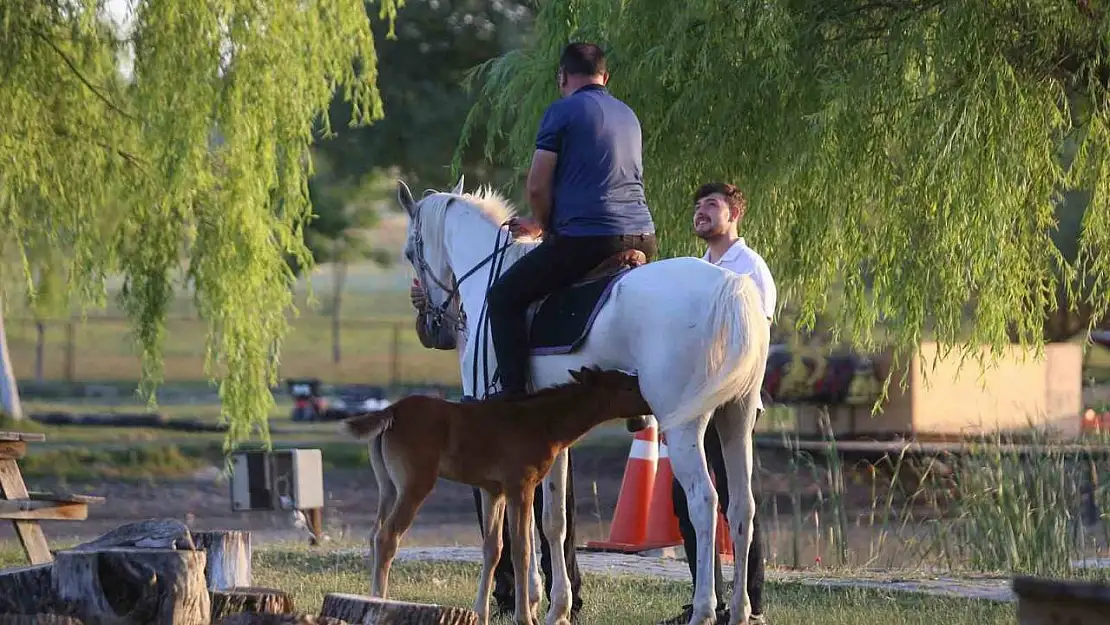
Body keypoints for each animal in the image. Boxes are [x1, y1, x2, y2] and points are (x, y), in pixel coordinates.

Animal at [344, 366, 648, 625]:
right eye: (627, 386)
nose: (649, 404)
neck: (543, 423)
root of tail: (391, 410)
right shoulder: (520, 486)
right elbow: (521, 548)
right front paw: (524, 617)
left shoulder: (493, 491)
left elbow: (493, 548)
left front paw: (480, 614)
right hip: (414, 484)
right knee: (387, 536)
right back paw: (378, 602)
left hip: (388, 486)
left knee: (374, 533)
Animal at [399, 176, 772, 625]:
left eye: (409, 252)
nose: (432, 327)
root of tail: (731, 286)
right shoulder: (548, 438)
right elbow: (553, 519)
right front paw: (554, 604)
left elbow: (526, 521)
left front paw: (533, 599)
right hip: (735, 420)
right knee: (742, 507)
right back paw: (740, 609)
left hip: (686, 426)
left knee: (704, 503)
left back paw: (703, 610)